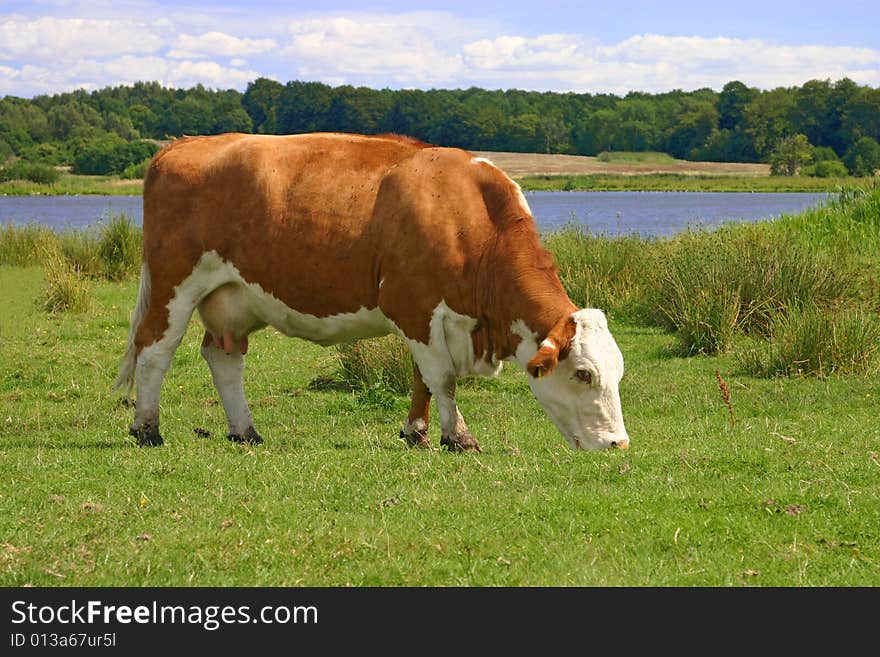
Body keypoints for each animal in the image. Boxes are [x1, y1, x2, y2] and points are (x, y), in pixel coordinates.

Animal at [113, 133, 628, 452]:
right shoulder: (413, 305)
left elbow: (422, 378)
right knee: (155, 350)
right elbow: (442, 378)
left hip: (233, 297)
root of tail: (183, 145)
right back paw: (146, 429)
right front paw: (458, 438)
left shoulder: (432, 320)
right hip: (174, 283)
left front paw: (417, 432)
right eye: (583, 374)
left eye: (618, 372)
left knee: (223, 358)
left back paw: (245, 432)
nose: (618, 443)